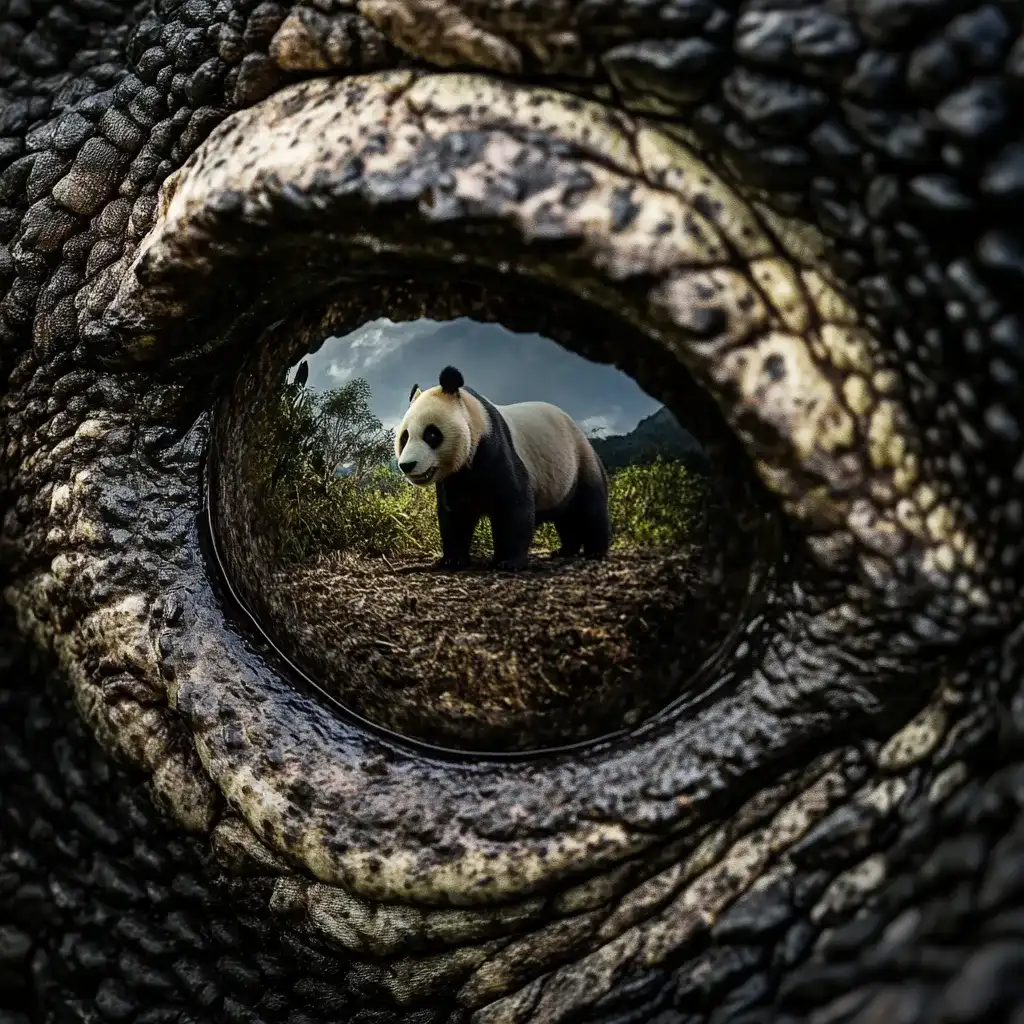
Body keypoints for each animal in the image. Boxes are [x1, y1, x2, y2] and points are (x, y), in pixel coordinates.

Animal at [395, 366, 611, 571]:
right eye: (405, 437)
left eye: (431, 435)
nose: (407, 465)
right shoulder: (453, 478)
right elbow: (454, 514)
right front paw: (452, 560)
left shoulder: (495, 448)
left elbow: (513, 505)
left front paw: (507, 562)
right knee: (565, 517)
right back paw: (565, 550)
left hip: (580, 459)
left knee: (590, 507)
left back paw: (595, 551)